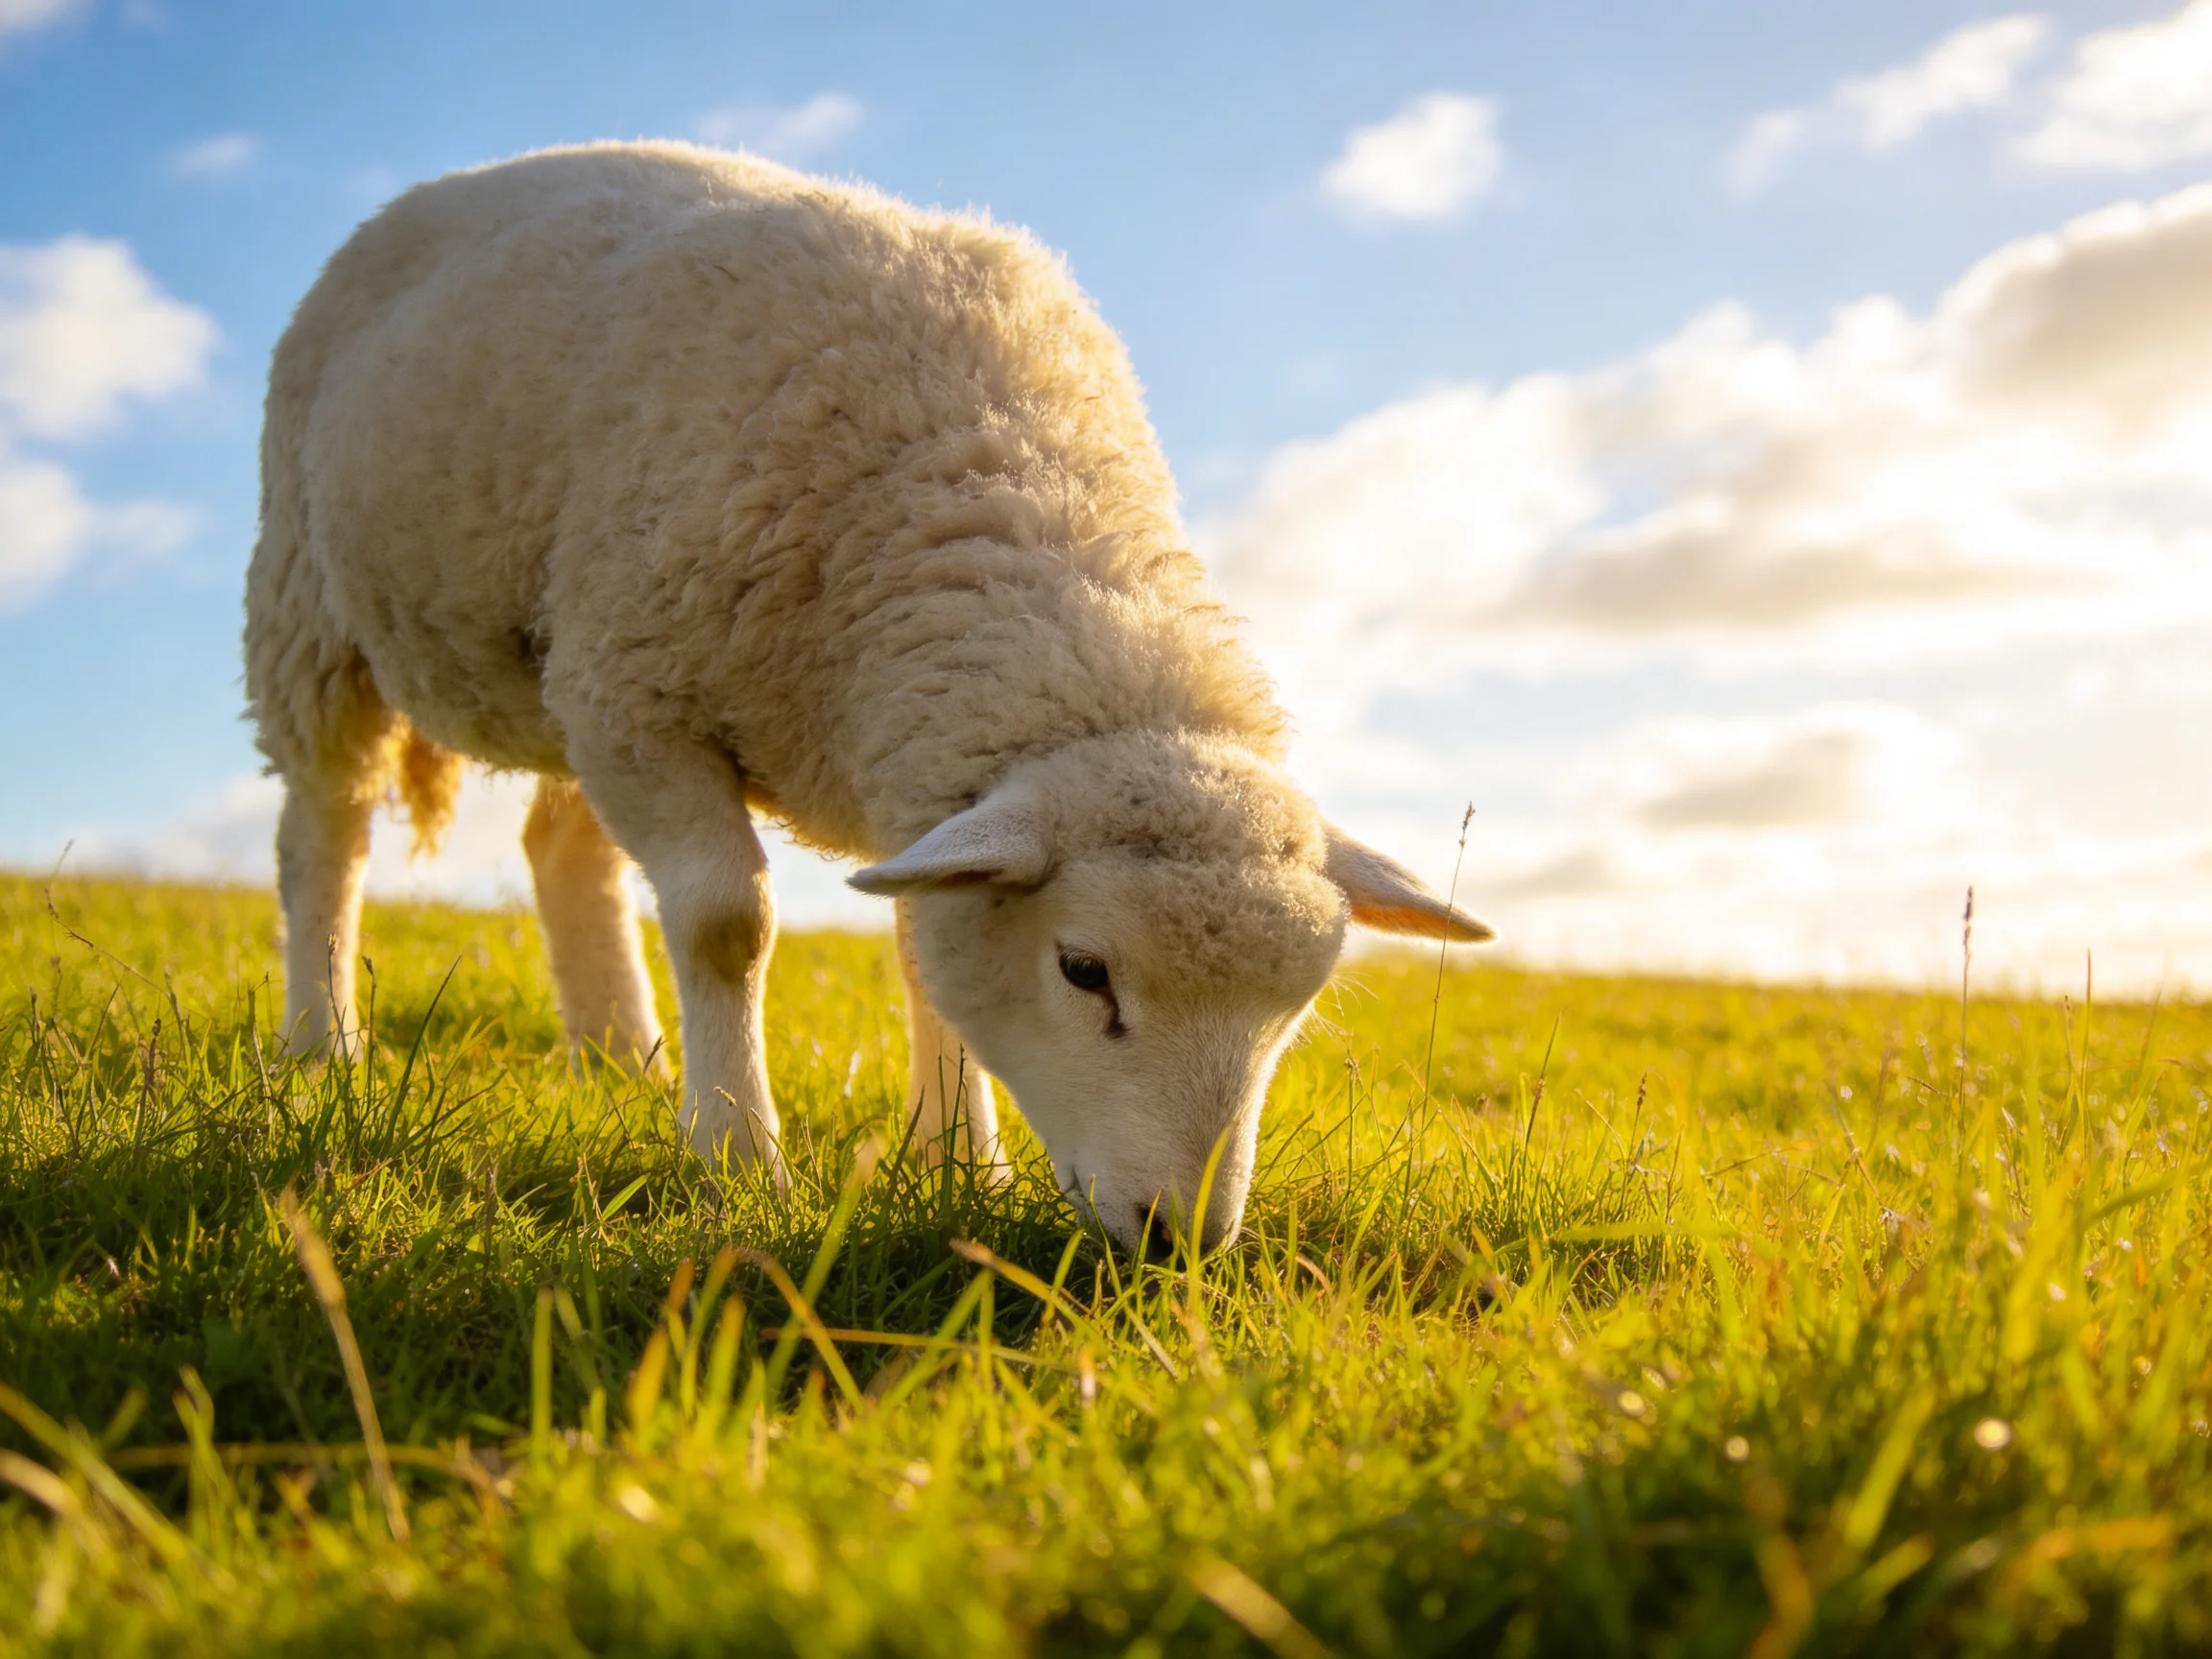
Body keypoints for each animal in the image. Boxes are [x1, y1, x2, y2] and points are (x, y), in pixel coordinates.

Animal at [243, 141, 1491, 1252]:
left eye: (1294, 1007)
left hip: (553, 672)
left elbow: (923, 951)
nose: (1185, 1240)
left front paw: (963, 1168)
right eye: (1084, 971)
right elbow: (726, 925)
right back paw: (324, 1047)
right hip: (312, 604)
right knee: (325, 833)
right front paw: (739, 1165)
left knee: (564, 846)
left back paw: (621, 1058)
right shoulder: (643, 690)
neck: (997, 478)